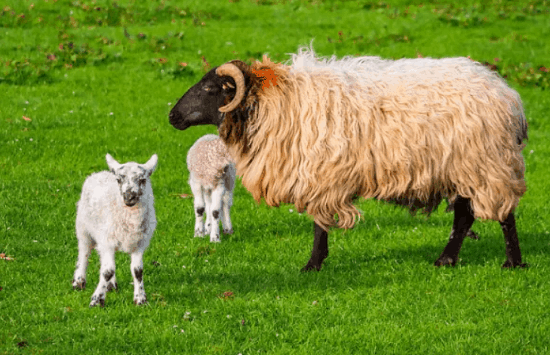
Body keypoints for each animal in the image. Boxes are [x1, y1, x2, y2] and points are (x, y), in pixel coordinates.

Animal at [73, 154, 157, 308]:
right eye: (119, 180)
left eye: (143, 180)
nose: (129, 197)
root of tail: (100, 172)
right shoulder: (107, 241)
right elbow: (107, 271)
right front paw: (97, 300)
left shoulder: (139, 243)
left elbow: (137, 271)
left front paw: (140, 299)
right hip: (83, 227)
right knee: (84, 252)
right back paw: (79, 281)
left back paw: (111, 285)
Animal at [169, 48, 532, 272]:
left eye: (209, 89)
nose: (172, 116)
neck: (273, 103)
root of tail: (509, 96)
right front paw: (316, 262)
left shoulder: (320, 175)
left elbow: (319, 224)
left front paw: (313, 265)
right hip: (462, 168)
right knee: (465, 216)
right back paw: (446, 260)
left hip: (489, 162)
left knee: (504, 214)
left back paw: (513, 262)